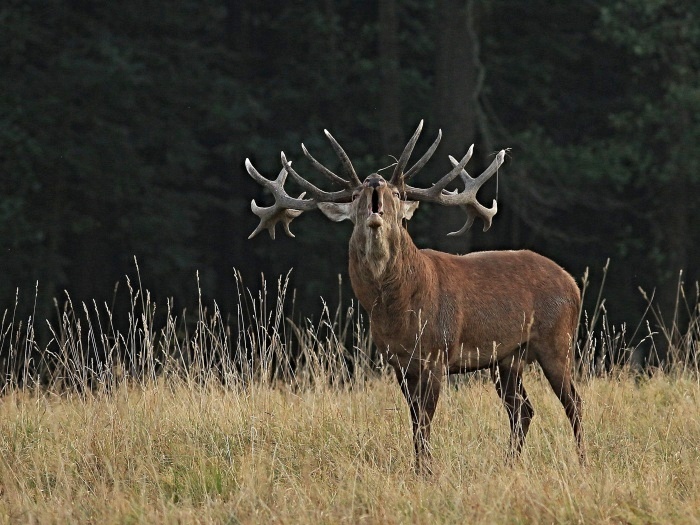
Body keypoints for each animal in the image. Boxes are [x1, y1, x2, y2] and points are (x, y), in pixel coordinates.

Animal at [246, 121, 584, 472]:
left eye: (397, 193)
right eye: (356, 195)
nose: (375, 181)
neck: (399, 312)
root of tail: (572, 282)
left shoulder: (436, 353)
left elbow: (424, 419)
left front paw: (426, 471)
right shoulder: (398, 361)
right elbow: (413, 419)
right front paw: (419, 467)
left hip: (557, 340)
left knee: (573, 402)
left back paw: (582, 460)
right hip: (507, 358)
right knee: (522, 410)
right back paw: (509, 463)